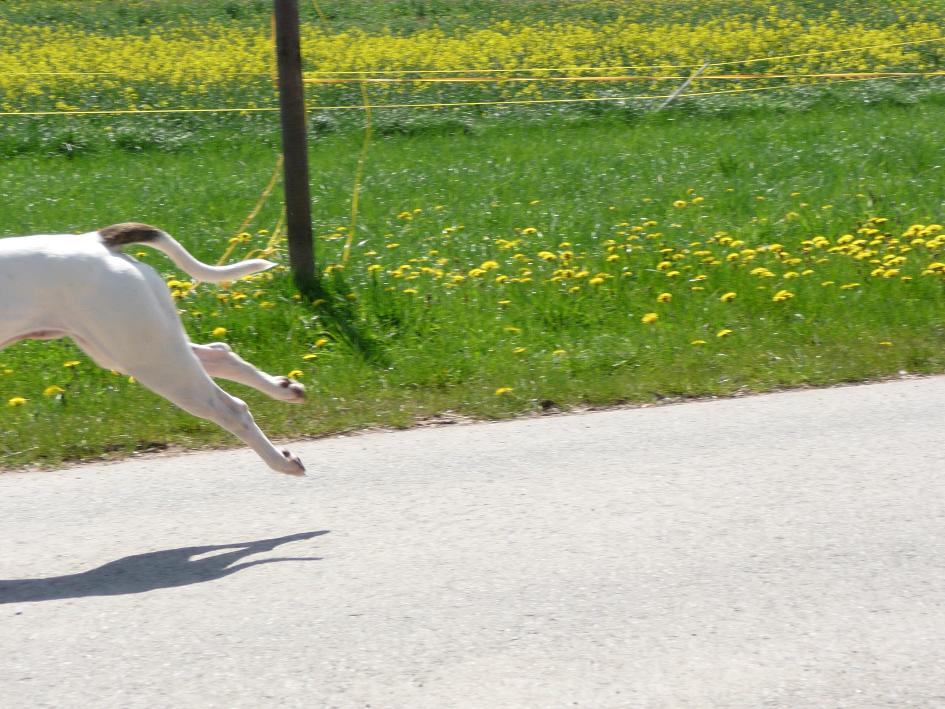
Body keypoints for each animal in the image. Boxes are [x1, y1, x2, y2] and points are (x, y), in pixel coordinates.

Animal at [0, 223, 306, 476]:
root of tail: (95, 241)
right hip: (140, 347)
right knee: (218, 353)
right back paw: (284, 387)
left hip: (150, 359)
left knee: (233, 410)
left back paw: (282, 461)